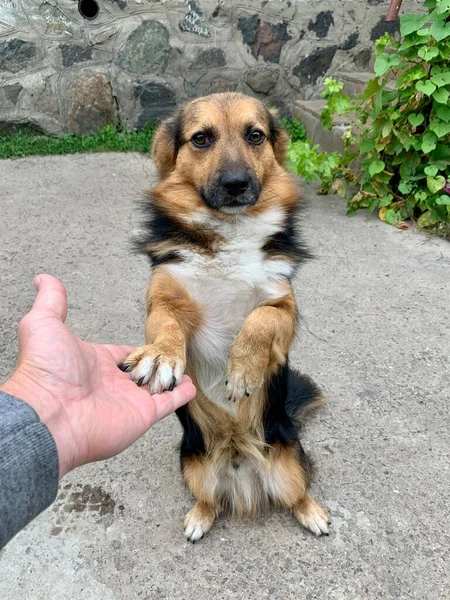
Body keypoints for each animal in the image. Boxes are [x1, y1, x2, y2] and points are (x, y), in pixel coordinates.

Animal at [122, 91, 330, 540]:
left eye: (255, 136)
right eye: (201, 138)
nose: (236, 184)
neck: (228, 231)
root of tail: (240, 455)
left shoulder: (284, 305)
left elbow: (261, 320)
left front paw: (244, 371)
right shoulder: (163, 296)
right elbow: (165, 325)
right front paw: (162, 356)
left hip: (289, 461)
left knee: (298, 493)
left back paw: (313, 513)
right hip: (192, 464)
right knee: (209, 499)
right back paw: (198, 519)